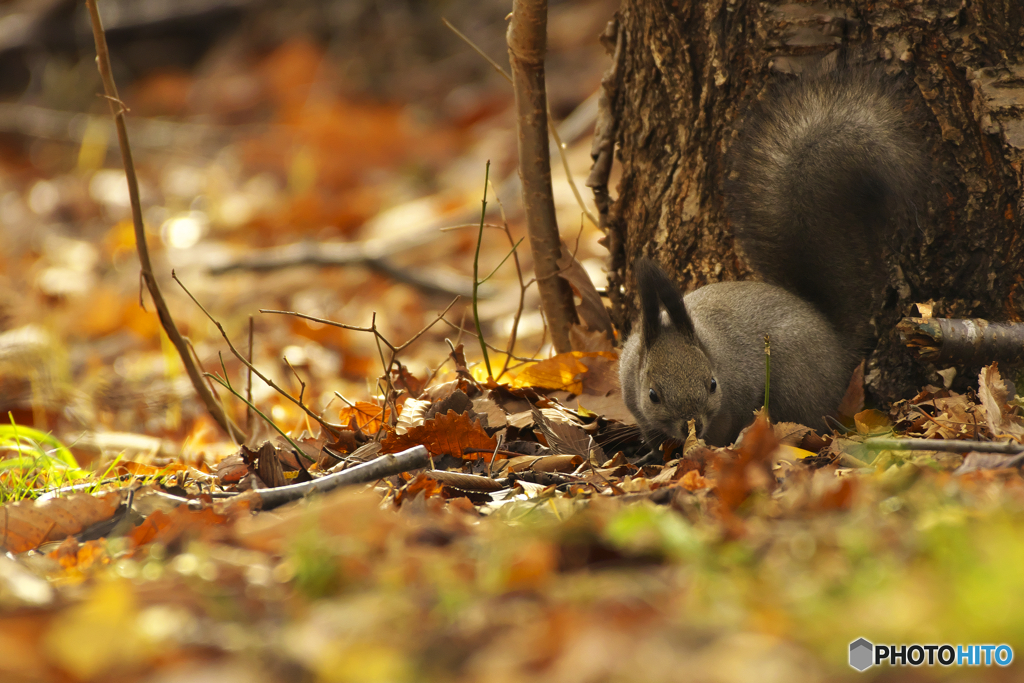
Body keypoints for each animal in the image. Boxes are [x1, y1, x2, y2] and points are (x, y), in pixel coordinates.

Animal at [618, 61, 933, 448]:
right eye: (653, 395)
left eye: (713, 384)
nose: (693, 425)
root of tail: (834, 344)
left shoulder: (732, 400)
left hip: (795, 381)